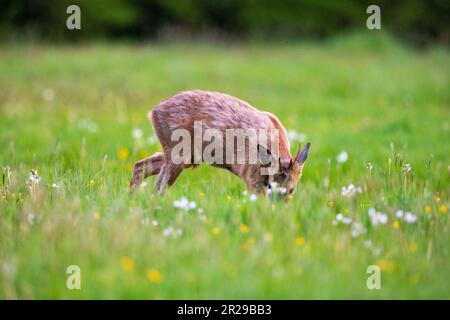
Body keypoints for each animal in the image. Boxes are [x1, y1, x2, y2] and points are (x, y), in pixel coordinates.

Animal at [128, 89, 308, 196]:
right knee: (159, 185)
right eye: (272, 186)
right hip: (178, 152)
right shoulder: (248, 172)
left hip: (186, 156)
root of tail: (153, 111)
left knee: (142, 165)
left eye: (292, 190)